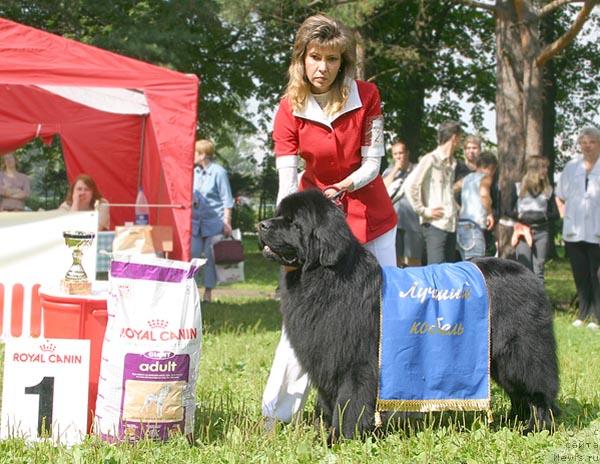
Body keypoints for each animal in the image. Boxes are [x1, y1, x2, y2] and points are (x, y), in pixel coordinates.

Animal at [256, 188, 556, 438]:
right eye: (279, 215)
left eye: (293, 222)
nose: (262, 225)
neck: (325, 277)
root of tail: (527, 274)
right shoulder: (327, 360)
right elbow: (330, 403)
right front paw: (327, 434)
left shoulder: (357, 363)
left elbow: (349, 402)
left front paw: (342, 438)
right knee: (519, 394)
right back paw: (514, 422)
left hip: (520, 353)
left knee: (538, 392)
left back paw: (538, 427)